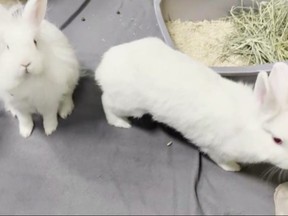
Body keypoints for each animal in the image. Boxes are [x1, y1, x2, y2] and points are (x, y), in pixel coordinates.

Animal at [0, 0, 80, 138]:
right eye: (8, 47)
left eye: (35, 42)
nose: (25, 63)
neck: (28, 80)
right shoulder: (19, 104)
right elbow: (24, 119)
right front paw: (25, 133)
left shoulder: (49, 100)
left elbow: (49, 116)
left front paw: (50, 129)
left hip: (71, 75)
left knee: (68, 94)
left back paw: (65, 111)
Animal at [95, 37, 288, 172]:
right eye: (277, 140)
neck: (246, 129)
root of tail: (104, 65)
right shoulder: (216, 149)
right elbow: (222, 161)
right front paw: (235, 168)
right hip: (129, 104)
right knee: (106, 101)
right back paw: (120, 123)